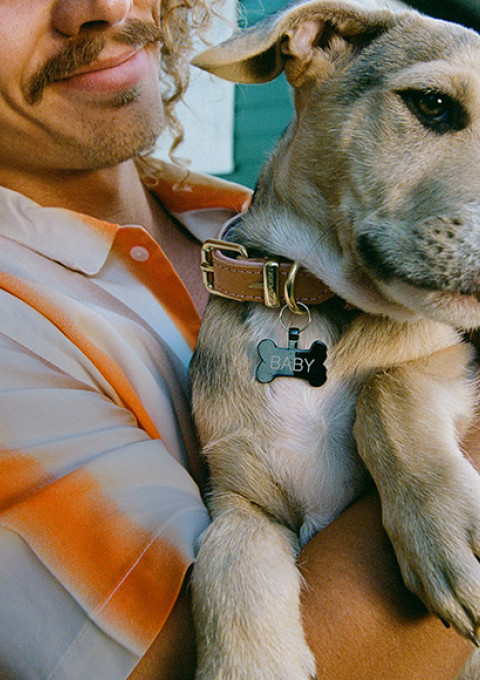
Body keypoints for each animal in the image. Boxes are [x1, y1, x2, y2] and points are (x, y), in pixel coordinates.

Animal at [188, 2, 480, 676]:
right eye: (432, 105)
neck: (311, 300)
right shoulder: (241, 499)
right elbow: (225, 562)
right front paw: (250, 663)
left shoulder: (461, 361)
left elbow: (390, 385)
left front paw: (445, 526)